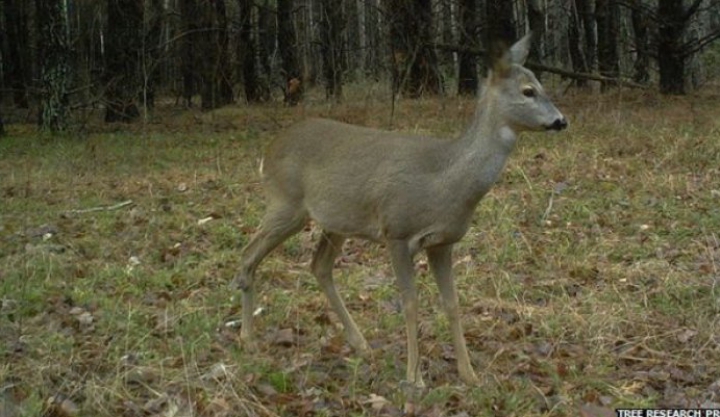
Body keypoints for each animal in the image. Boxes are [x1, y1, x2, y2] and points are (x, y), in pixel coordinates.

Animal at [233, 35, 564, 386]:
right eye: (528, 91)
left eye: (541, 84)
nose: (561, 120)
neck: (446, 181)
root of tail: (268, 151)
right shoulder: (396, 231)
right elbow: (410, 302)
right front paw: (414, 377)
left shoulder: (443, 243)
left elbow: (452, 303)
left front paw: (469, 374)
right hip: (286, 203)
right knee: (248, 254)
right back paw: (248, 339)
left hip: (336, 221)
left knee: (319, 265)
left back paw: (361, 344)